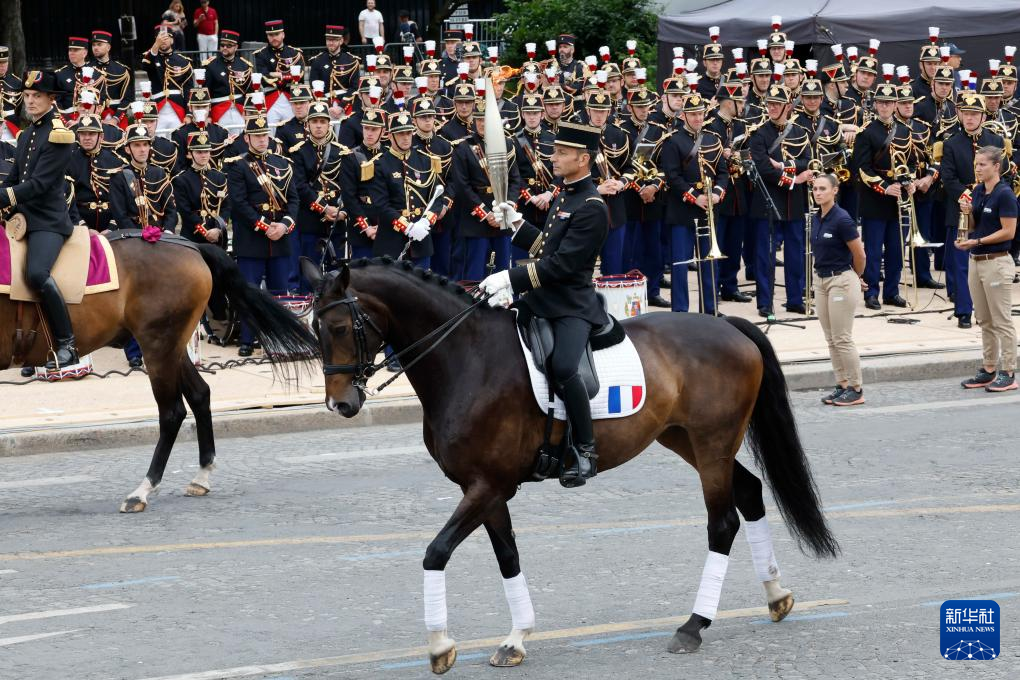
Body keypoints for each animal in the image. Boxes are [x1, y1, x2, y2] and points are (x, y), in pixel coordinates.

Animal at [0, 236, 318, 513]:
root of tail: (190, 245)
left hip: (158, 345)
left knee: (172, 412)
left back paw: (142, 491)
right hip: (173, 347)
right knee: (200, 395)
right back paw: (201, 476)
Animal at [303, 258, 844, 676]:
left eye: (339, 328)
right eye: (314, 330)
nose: (340, 404)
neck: (468, 357)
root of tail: (727, 323)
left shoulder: (487, 486)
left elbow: (435, 553)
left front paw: (440, 646)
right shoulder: (486, 490)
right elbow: (508, 557)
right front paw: (516, 638)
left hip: (712, 443)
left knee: (724, 520)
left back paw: (693, 626)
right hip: (688, 440)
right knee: (749, 493)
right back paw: (776, 594)